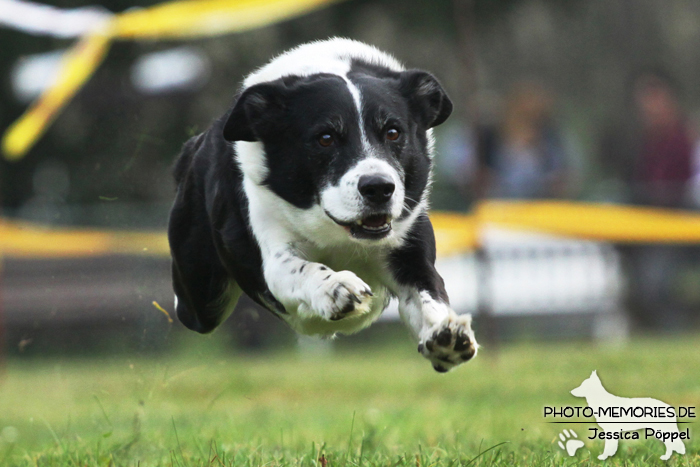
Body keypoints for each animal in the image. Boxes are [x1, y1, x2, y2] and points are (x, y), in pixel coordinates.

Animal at [167, 37, 478, 372]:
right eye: (325, 138)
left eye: (393, 133)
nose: (379, 188)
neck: (340, 234)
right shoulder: (272, 249)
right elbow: (299, 268)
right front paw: (336, 287)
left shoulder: (409, 249)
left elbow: (429, 294)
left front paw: (447, 336)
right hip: (202, 292)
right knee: (190, 306)